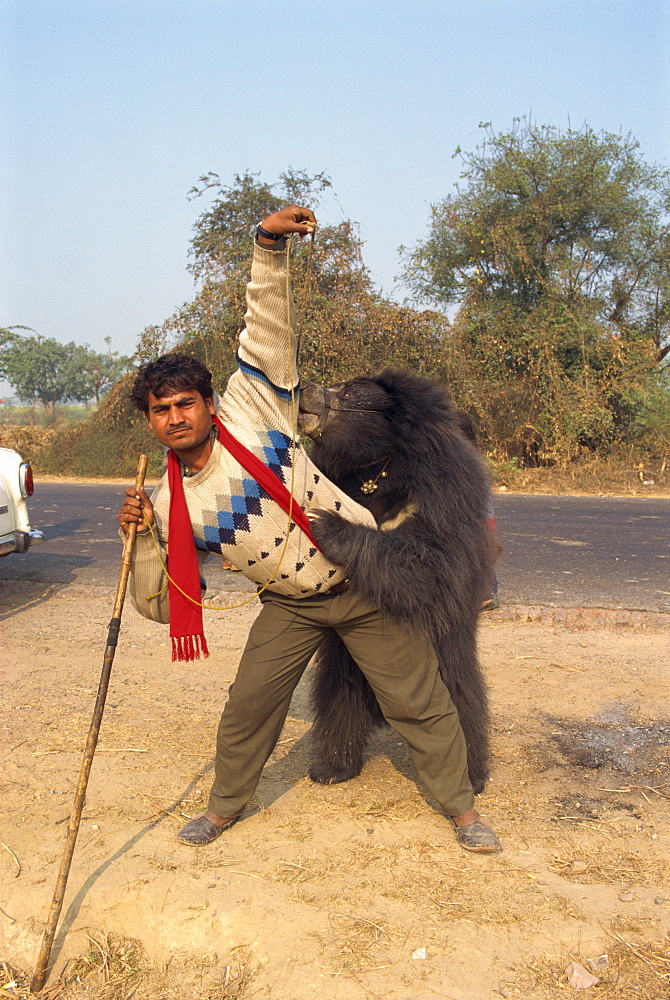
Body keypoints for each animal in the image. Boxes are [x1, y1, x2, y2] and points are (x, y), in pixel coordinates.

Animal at [302, 368, 496, 796]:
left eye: (348, 392)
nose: (302, 388)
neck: (375, 463)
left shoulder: (443, 492)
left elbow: (433, 562)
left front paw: (327, 524)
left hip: (446, 654)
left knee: (462, 706)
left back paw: (472, 776)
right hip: (346, 660)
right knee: (339, 700)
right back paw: (332, 767)